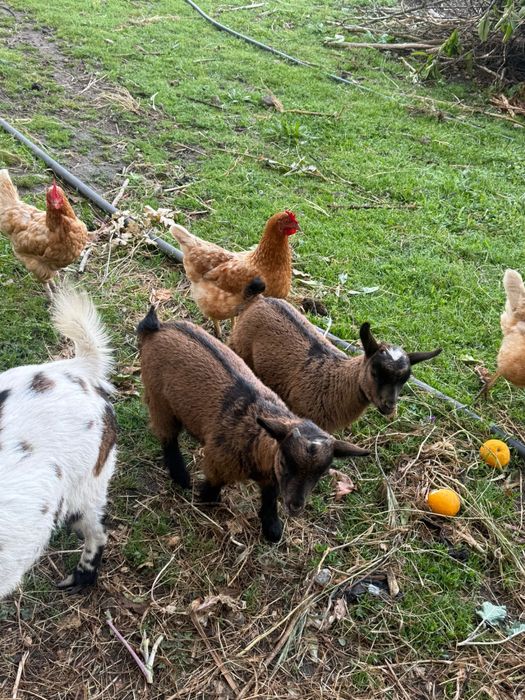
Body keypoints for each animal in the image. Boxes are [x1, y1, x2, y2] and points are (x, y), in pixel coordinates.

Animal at [137, 307, 369, 542]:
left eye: (322, 472)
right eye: (284, 461)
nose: (295, 506)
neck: (256, 437)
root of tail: (158, 327)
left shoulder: (271, 476)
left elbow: (269, 497)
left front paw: (272, 528)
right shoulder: (218, 462)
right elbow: (213, 485)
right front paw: (207, 499)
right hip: (158, 398)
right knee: (168, 437)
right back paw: (181, 477)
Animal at [229, 297, 442, 433]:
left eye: (405, 380)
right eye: (374, 372)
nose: (389, 406)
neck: (334, 379)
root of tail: (260, 299)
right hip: (239, 347)